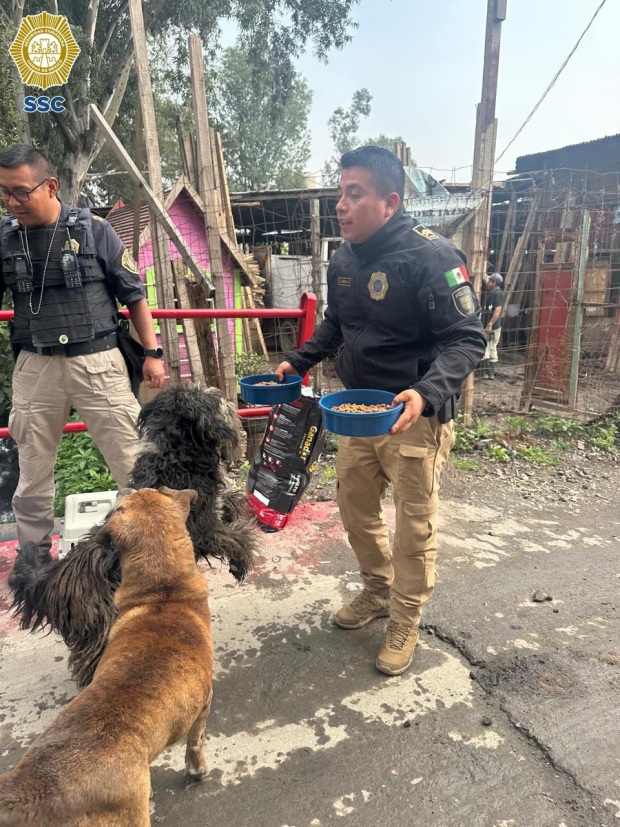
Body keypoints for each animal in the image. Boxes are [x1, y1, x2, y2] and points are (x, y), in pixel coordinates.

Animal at [0, 488, 216, 824]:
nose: (122, 489)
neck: (165, 594)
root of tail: (41, 784)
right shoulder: (204, 704)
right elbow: (196, 743)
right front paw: (197, 771)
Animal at [7, 384, 254, 688]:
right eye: (212, 399)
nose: (230, 403)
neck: (173, 457)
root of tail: (59, 576)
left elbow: (232, 499)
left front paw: (235, 508)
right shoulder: (203, 530)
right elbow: (239, 538)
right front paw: (241, 563)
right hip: (102, 622)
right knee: (91, 661)